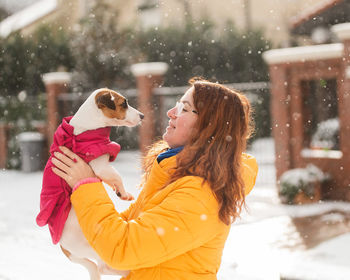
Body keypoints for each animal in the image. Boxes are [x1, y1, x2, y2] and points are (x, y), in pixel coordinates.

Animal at [36, 87, 144, 278]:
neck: (85, 128)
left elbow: (112, 179)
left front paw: (119, 191)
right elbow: (116, 175)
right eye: (124, 103)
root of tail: (65, 248)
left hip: (81, 256)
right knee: (102, 266)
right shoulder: (100, 164)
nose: (142, 116)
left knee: (94, 267)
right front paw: (124, 193)